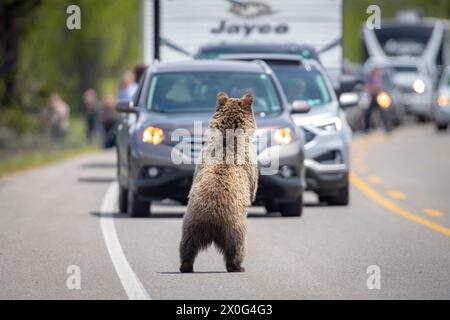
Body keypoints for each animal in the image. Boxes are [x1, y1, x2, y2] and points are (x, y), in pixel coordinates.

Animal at [178, 92, 258, 272]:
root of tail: (212, 220)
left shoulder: (201, 158)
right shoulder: (250, 161)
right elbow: (253, 183)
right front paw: (253, 195)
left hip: (191, 223)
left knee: (187, 245)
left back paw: (186, 265)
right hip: (235, 227)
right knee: (237, 247)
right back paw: (238, 266)